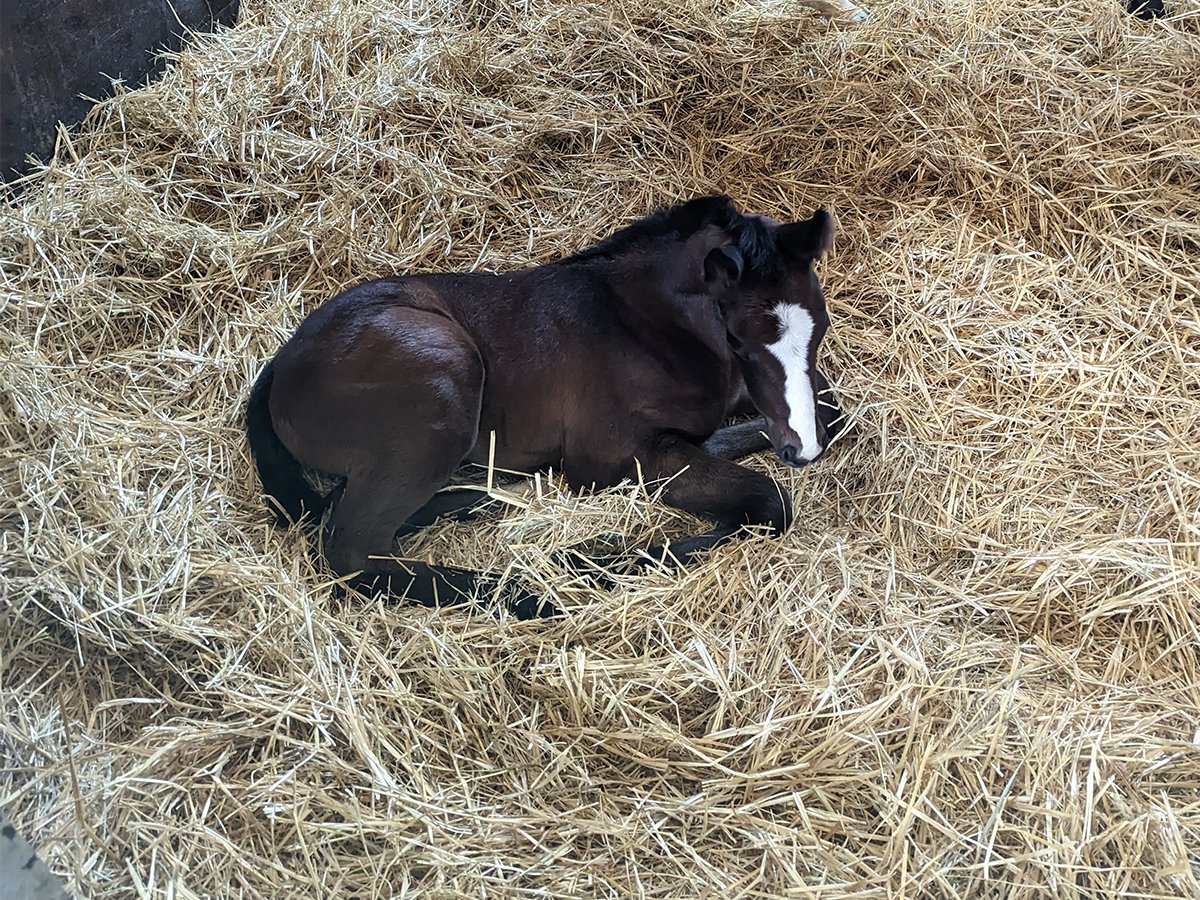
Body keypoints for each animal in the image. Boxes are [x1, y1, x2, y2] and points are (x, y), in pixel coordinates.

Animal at [245, 195, 846, 618]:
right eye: (740, 340)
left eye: (819, 325)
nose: (799, 450)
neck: (643, 322)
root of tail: (282, 362)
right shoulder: (611, 455)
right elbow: (768, 502)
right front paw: (594, 556)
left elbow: (829, 412)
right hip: (444, 373)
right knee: (353, 551)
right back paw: (530, 592)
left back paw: (478, 501)